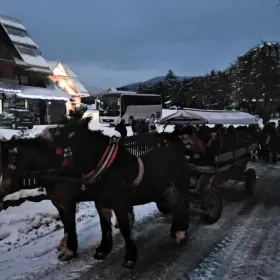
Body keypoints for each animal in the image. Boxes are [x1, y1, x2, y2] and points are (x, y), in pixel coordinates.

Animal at [48, 117, 190, 268]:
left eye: (71, 133)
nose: (50, 131)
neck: (107, 170)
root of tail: (179, 151)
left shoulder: (121, 205)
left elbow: (125, 230)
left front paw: (130, 258)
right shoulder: (102, 204)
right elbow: (105, 227)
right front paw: (103, 250)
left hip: (179, 188)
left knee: (182, 207)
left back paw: (182, 233)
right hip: (165, 192)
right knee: (175, 208)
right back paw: (175, 230)